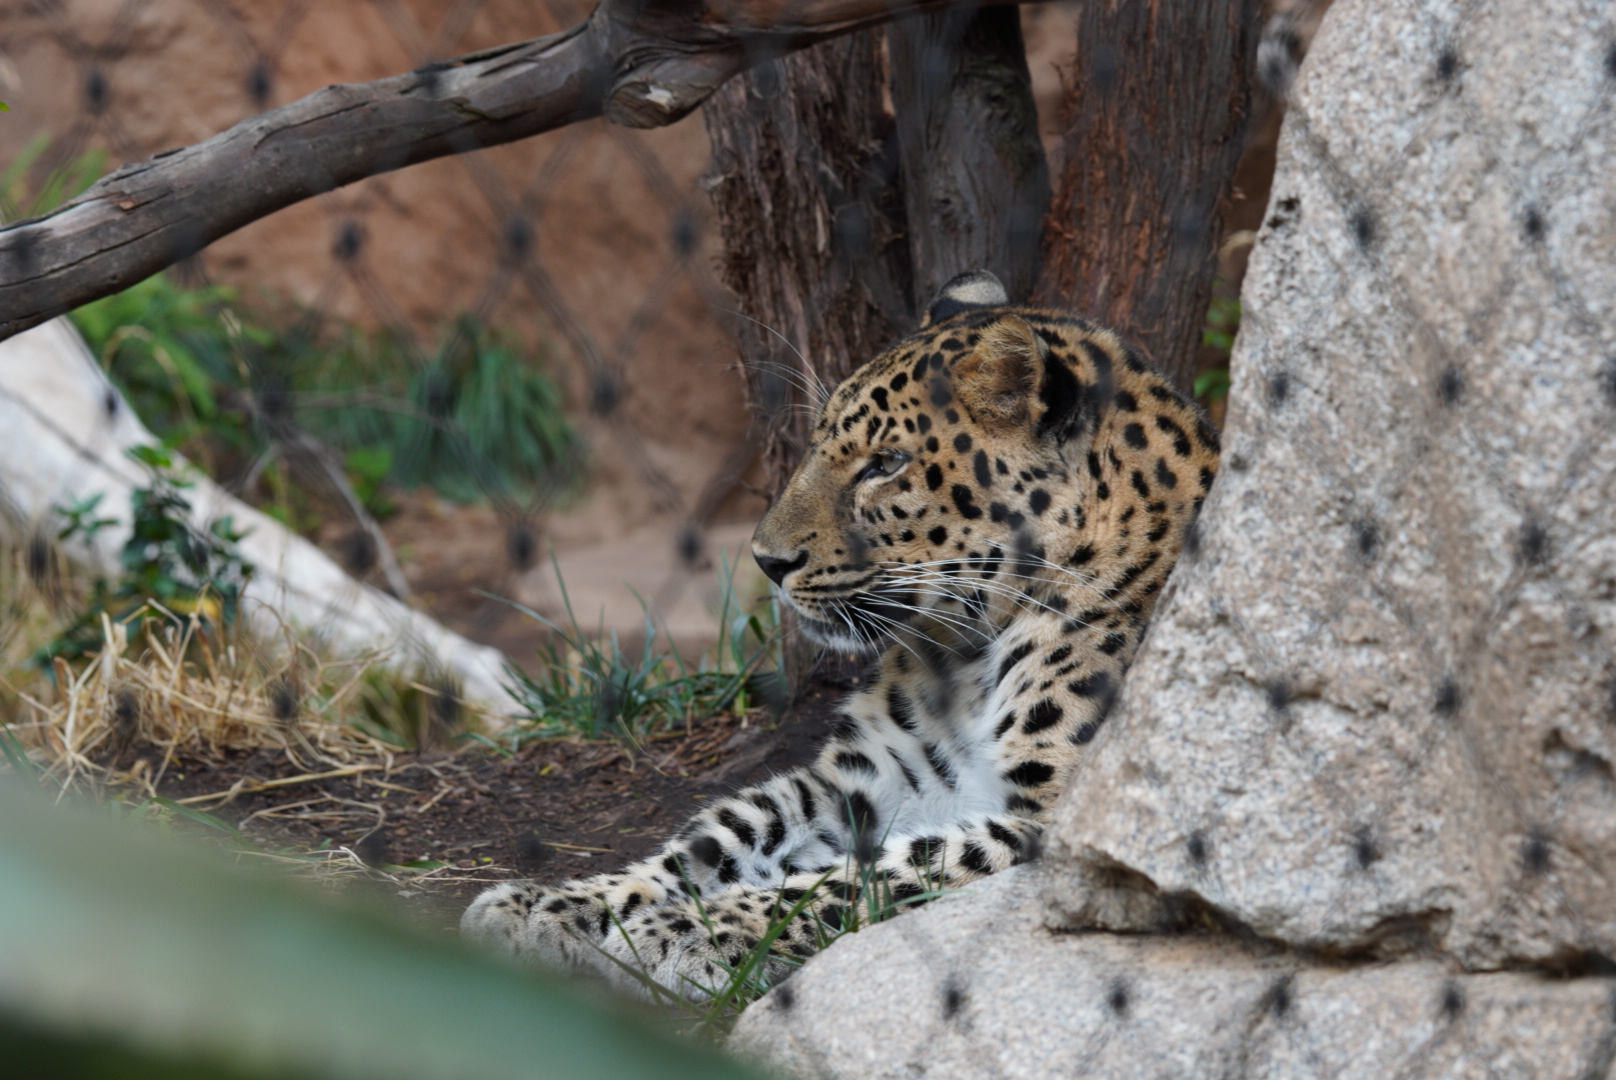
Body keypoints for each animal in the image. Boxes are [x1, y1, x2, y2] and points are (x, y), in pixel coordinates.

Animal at [461, 269, 1220, 1000]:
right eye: (819, 444)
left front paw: (682, 931)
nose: (766, 560)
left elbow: (870, 875)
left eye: (885, 464)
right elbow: (718, 834)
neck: (971, 652)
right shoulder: (869, 778)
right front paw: (553, 904)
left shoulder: (1057, 831)